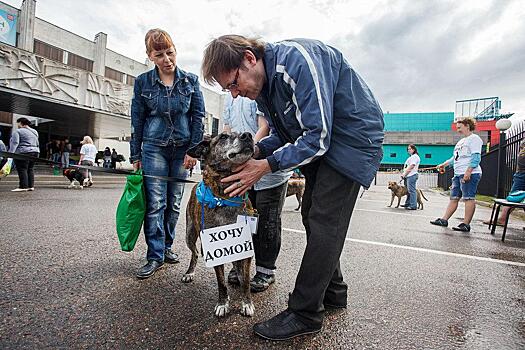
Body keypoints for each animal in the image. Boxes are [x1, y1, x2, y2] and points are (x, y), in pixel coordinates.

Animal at [180, 131, 254, 318]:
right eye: (223, 137)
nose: (248, 135)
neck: (226, 197)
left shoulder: (245, 248)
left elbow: (246, 280)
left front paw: (246, 303)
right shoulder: (216, 250)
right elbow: (221, 282)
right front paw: (222, 304)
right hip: (189, 234)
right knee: (195, 253)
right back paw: (189, 273)